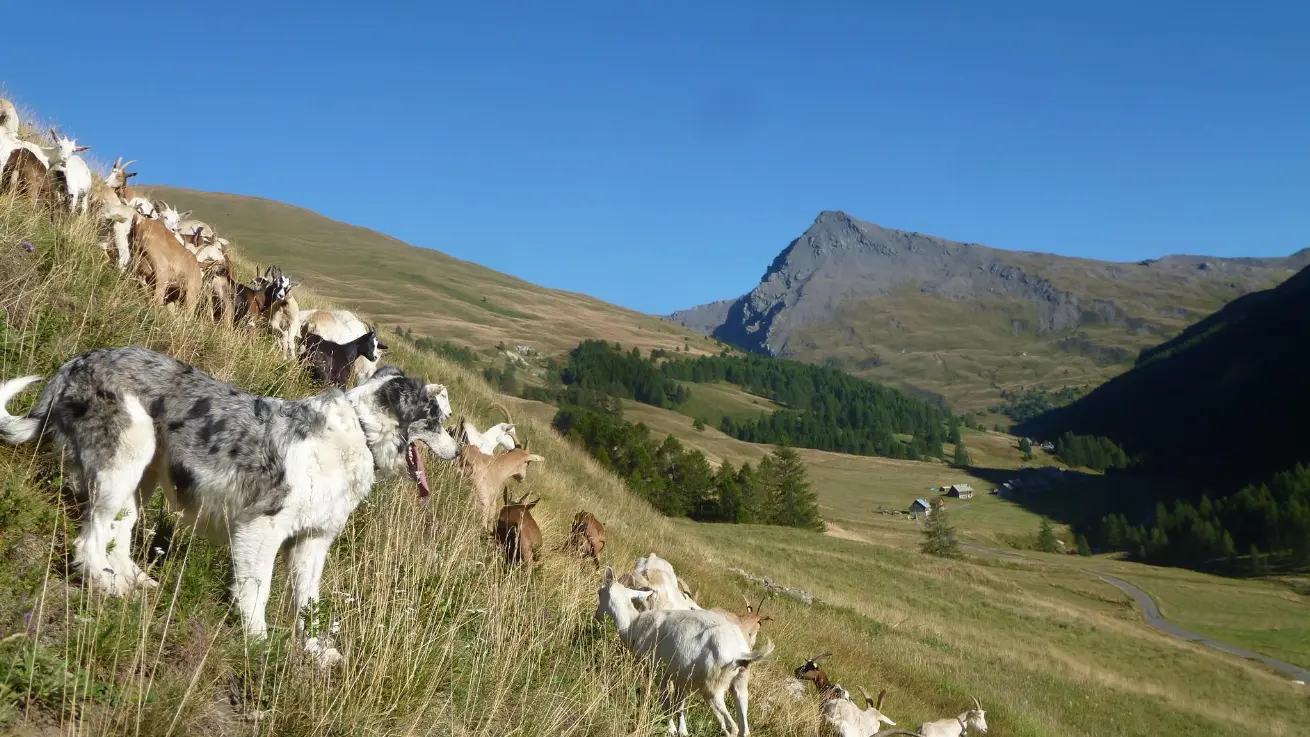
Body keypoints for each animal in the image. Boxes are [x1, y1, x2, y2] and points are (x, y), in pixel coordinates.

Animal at [0, 348, 461, 641]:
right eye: (435, 419)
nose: (458, 452)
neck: (360, 434)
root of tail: (79, 361)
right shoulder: (262, 527)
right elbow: (258, 590)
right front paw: (257, 643)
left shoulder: (313, 541)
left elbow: (309, 604)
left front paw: (316, 653)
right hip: (123, 460)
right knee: (90, 537)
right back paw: (104, 583)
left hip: (141, 470)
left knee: (119, 530)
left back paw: (132, 580)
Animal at [597, 568, 770, 733]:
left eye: (599, 592)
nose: (596, 616)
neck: (634, 624)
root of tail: (741, 653)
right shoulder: (680, 678)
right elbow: (679, 705)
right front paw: (682, 730)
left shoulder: (658, 671)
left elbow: (666, 702)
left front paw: (671, 729)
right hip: (740, 684)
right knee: (745, 728)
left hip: (712, 689)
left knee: (731, 727)